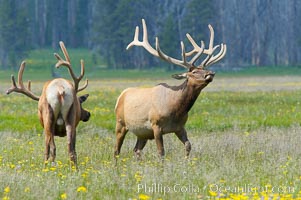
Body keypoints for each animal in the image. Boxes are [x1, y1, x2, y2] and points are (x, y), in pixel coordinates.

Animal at [6, 41, 89, 169]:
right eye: (81, 104)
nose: (88, 114)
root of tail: (60, 90)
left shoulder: (44, 127)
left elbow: (46, 148)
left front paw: (44, 165)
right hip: (71, 117)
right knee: (71, 148)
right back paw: (74, 169)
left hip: (48, 117)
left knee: (53, 148)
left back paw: (50, 167)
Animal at [114, 18, 225, 159]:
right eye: (194, 72)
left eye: (204, 69)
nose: (210, 73)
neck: (176, 109)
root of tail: (120, 96)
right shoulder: (156, 125)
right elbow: (161, 152)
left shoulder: (179, 127)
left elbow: (188, 145)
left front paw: (186, 161)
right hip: (120, 123)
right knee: (116, 150)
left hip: (142, 133)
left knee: (136, 150)